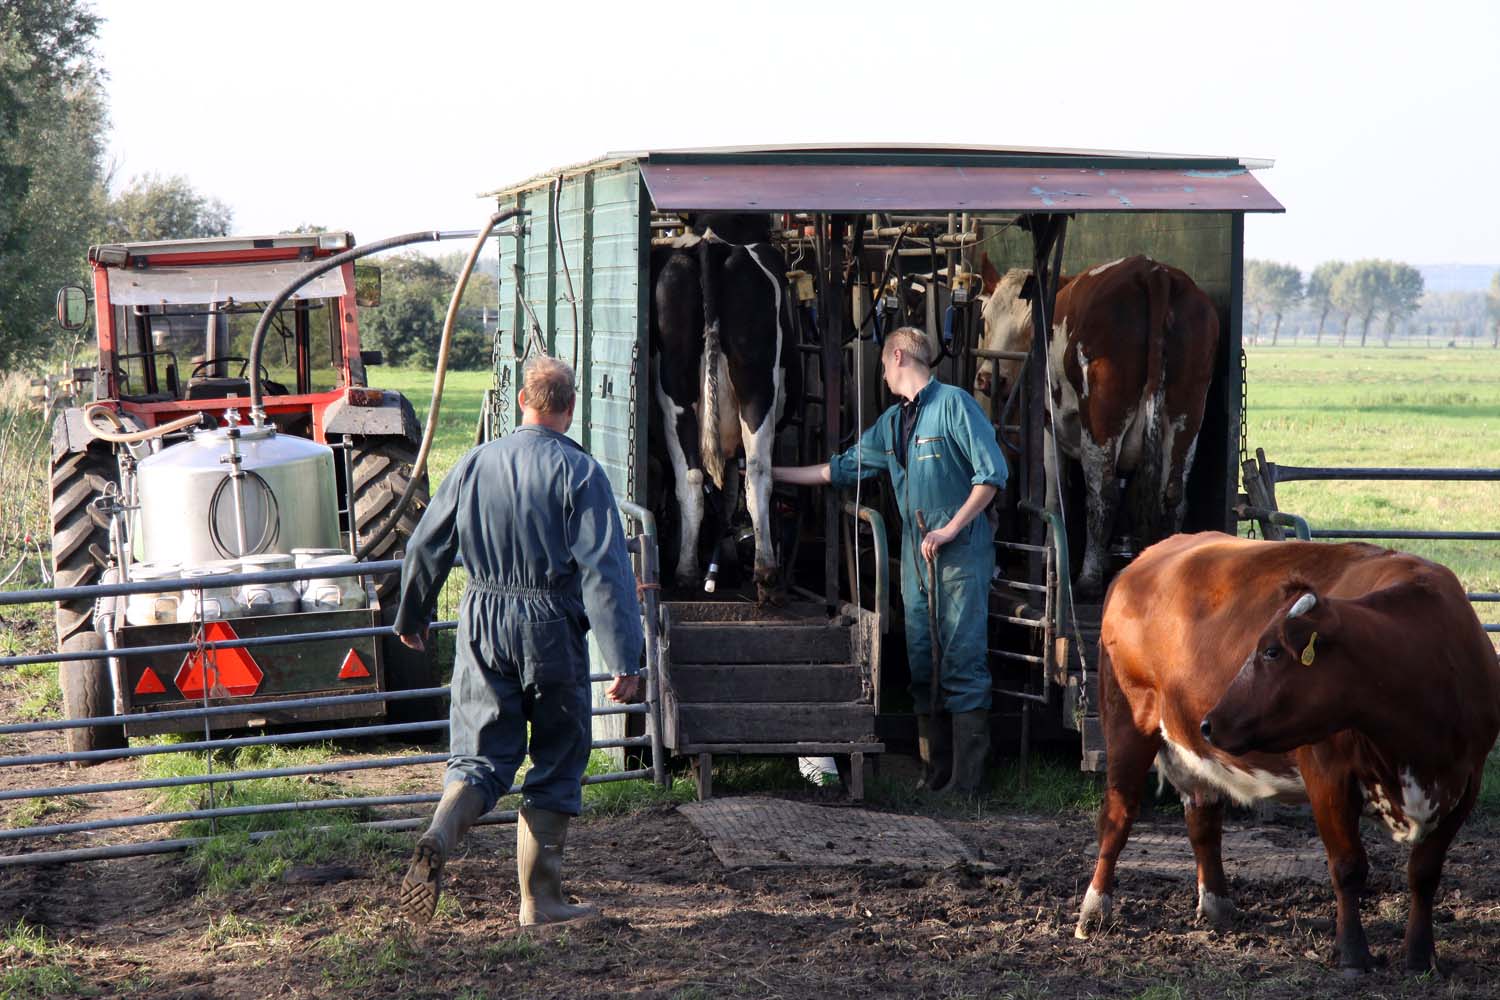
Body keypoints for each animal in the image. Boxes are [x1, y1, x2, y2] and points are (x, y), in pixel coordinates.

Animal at [651, 212, 804, 602]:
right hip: (757, 386)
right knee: (753, 472)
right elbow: (728, 487)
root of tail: (712, 245)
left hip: (686, 390)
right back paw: (760, 572)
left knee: (698, 477)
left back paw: (692, 572)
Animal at [972, 257, 1218, 599]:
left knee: (1103, 495)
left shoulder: (1049, 428)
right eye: (986, 319)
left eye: (1029, 327)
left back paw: (1088, 579)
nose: (986, 378)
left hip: (1101, 419)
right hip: (1186, 417)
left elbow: (1054, 496)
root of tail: (1152, 272)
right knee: (1172, 495)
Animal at [1080, 536, 1500, 971]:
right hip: (1127, 720)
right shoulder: (1328, 776)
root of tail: (1148, 557)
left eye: (1270, 651)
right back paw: (1095, 910)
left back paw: (1217, 904)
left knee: (1203, 820)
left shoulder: (1465, 783)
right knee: (1118, 814)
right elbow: (1348, 866)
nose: (1211, 723)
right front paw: (1352, 953)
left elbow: (1425, 872)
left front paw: (1420, 955)